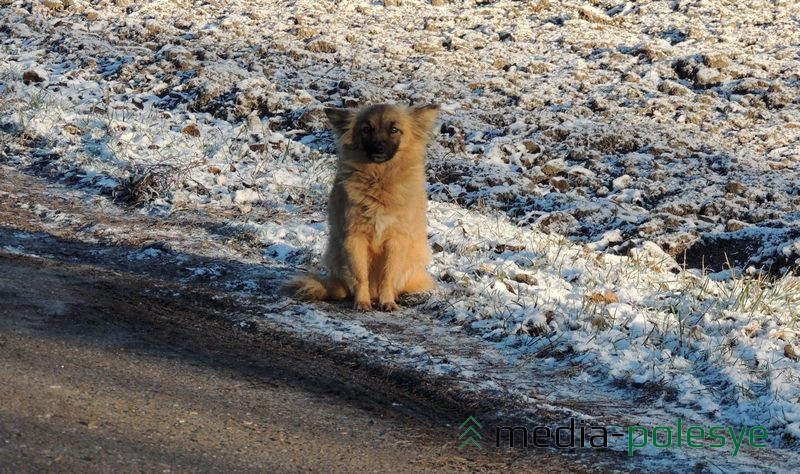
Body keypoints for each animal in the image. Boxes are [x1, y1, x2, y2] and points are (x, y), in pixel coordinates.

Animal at [286, 103, 440, 312]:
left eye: (394, 129)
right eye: (366, 129)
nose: (379, 147)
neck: (379, 179)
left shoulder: (395, 240)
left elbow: (388, 276)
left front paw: (387, 302)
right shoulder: (354, 238)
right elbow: (360, 277)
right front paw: (362, 303)